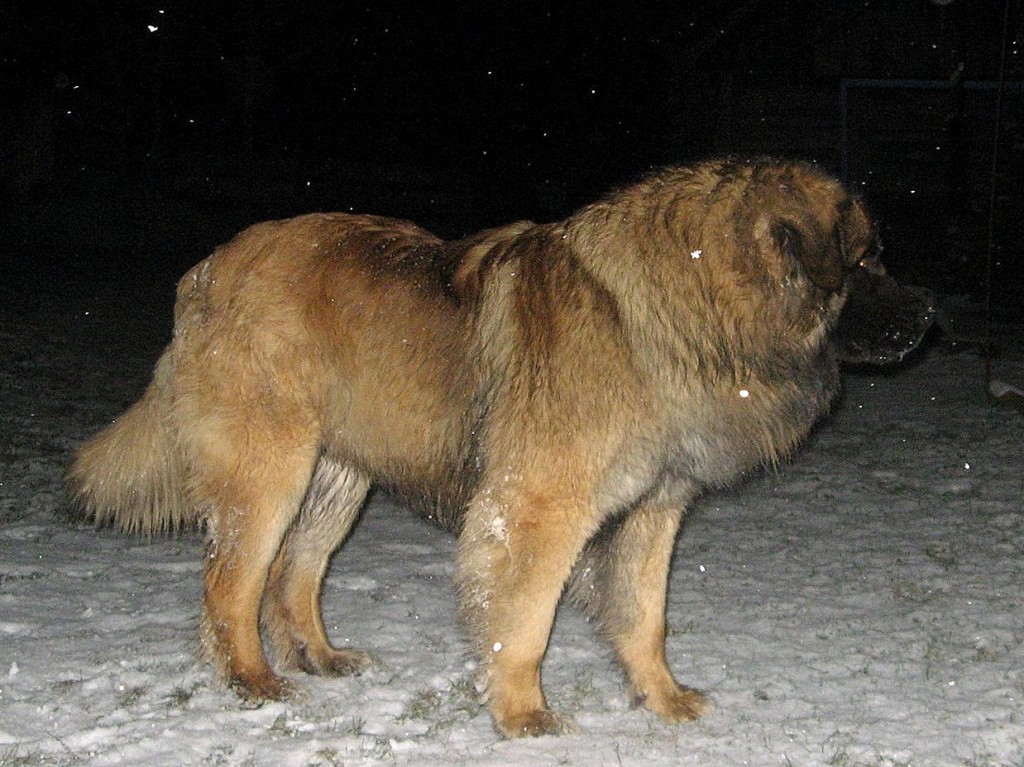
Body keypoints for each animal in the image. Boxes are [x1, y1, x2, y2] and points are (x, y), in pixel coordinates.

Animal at [68, 156, 933, 737]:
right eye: (865, 259)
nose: (930, 318)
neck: (678, 308)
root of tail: (206, 269)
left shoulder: (654, 509)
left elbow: (645, 615)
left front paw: (661, 697)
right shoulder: (537, 508)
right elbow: (525, 620)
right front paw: (523, 713)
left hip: (339, 476)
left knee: (294, 574)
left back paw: (321, 654)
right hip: (270, 470)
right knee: (231, 585)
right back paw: (253, 680)